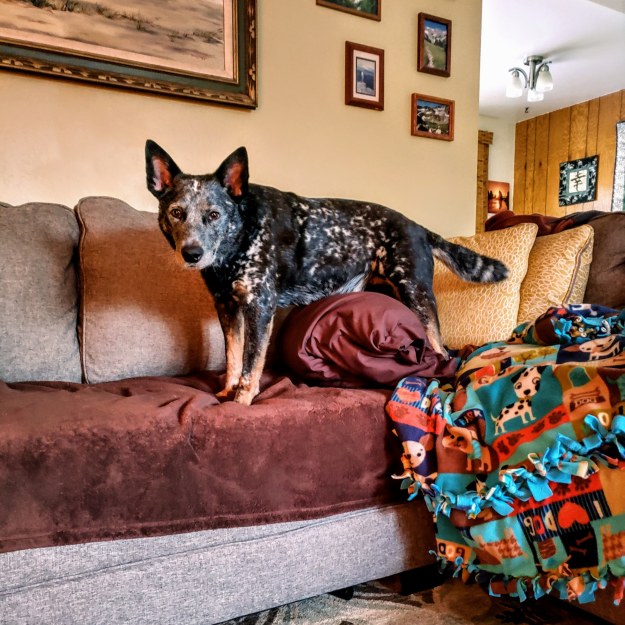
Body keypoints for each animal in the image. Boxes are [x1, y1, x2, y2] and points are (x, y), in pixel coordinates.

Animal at [145, 141, 508, 405]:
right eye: (177, 213)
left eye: (214, 215)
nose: (192, 254)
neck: (241, 234)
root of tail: (419, 228)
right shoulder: (226, 307)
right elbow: (233, 356)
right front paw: (226, 390)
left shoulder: (259, 308)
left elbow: (251, 363)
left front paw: (241, 400)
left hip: (415, 293)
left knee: (442, 351)